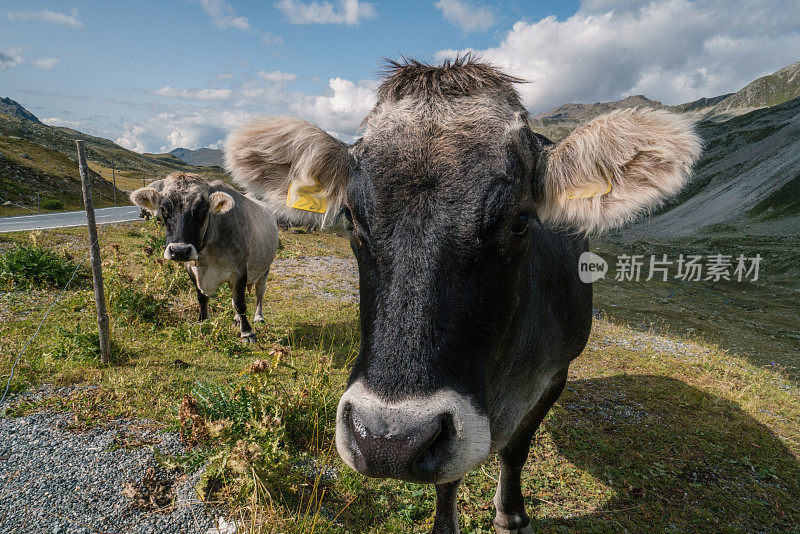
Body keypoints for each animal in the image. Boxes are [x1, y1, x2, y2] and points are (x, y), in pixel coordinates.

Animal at [130, 174, 280, 346]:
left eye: (201, 210)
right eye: (164, 209)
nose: (180, 251)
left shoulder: (240, 271)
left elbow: (241, 303)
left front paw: (247, 332)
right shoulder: (191, 270)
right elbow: (202, 299)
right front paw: (203, 322)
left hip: (265, 270)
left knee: (259, 293)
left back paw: (258, 317)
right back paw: (236, 319)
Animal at [222, 56, 696, 532]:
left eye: (520, 221)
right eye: (350, 218)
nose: (388, 440)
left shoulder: (555, 375)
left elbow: (516, 450)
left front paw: (511, 515)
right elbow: (447, 481)